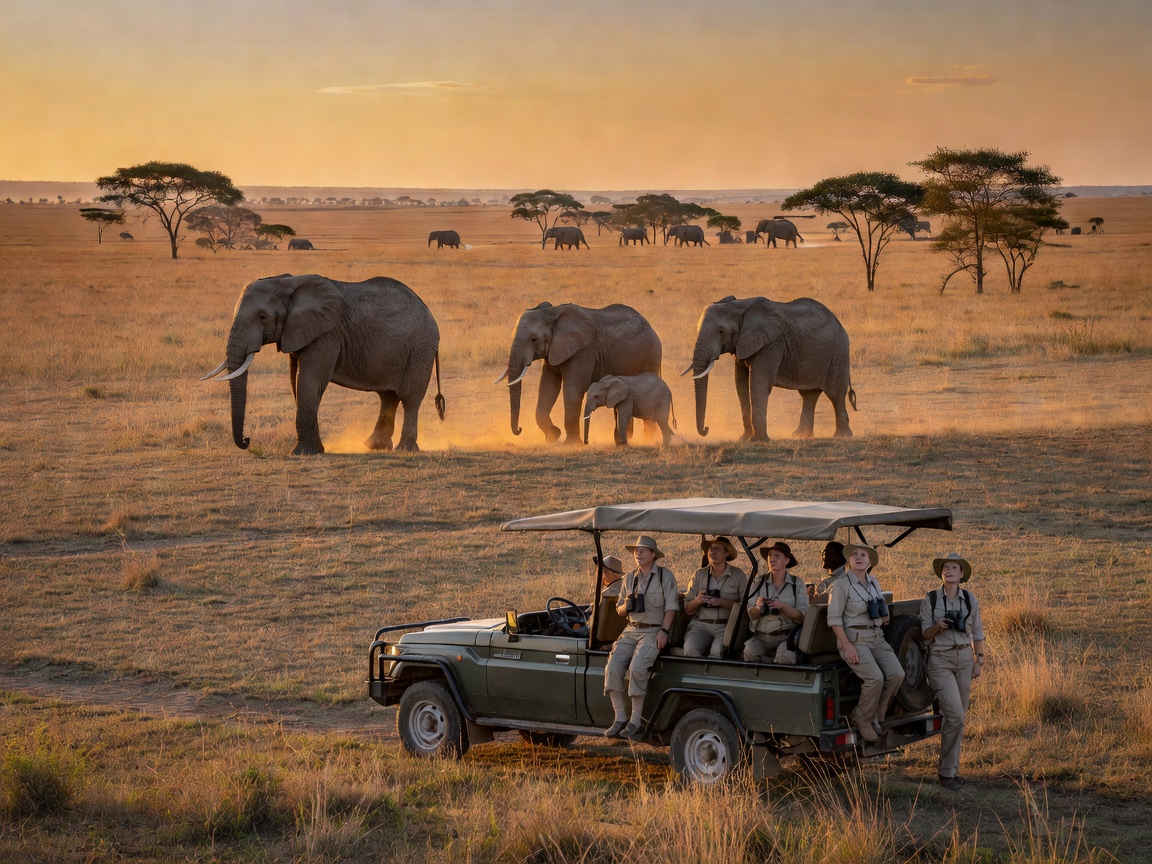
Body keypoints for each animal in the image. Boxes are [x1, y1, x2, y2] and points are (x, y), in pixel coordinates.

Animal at [200, 273, 445, 455]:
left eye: (262, 317)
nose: (247, 440)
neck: (288, 283)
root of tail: (430, 314)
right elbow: (299, 384)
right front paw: (317, 449)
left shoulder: (326, 334)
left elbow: (310, 381)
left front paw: (302, 453)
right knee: (388, 396)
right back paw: (375, 447)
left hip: (420, 349)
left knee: (410, 398)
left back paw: (406, 450)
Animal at [496, 302, 662, 444]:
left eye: (534, 339)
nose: (519, 429)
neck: (552, 312)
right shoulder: (554, 352)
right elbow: (548, 387)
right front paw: (553, 437)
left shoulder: (582, 351)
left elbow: (573, 389)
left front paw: (570, 444)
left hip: (651, 354)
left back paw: (649, 439)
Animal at [684, 295, 856, 442]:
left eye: (721, 332)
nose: (706, 429)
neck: (740, 305)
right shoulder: (742, 344)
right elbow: (740, 384)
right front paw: (744, 439)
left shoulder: (770, 344)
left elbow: (758, 383)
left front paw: (757, 440)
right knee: (809, 394)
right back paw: (800, 436)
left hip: (837, 354)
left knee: (835, 394)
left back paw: (842, 436)